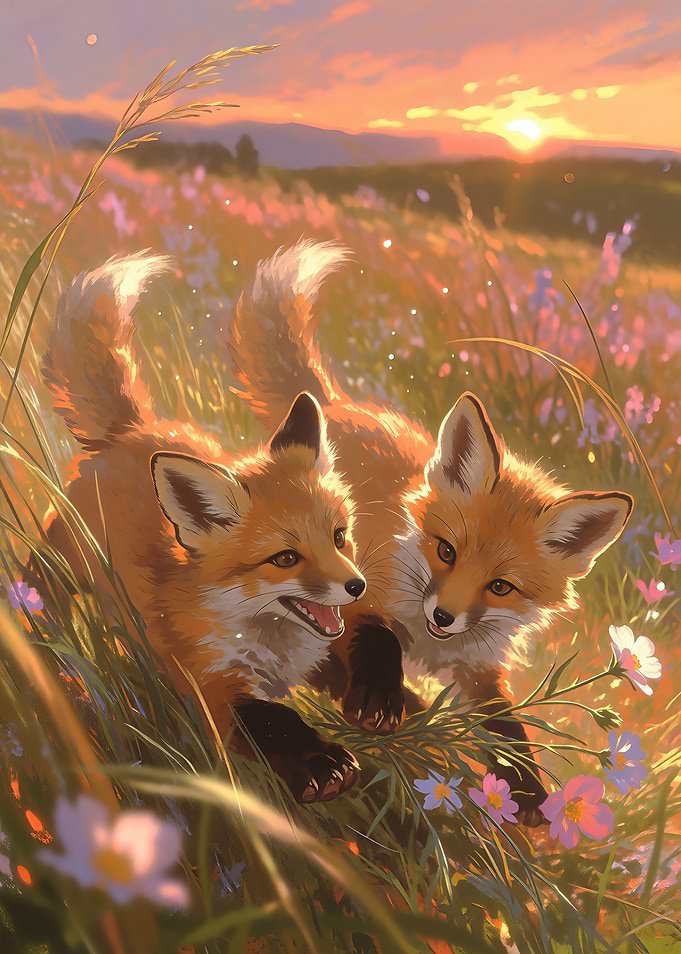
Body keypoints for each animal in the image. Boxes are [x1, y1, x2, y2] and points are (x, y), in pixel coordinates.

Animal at [39, 251, 369, 804]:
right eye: (285, 558)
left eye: (339, 536)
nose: (357, 586)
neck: (271, 645)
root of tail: (133, 429)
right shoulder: (208, 684)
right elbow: (274, 720)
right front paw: (322, 765)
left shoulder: (318, 650)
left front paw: (386, 698)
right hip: (69, 560)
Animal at [229, 239, 634, 823]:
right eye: (446, 550)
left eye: (501, 587)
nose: (443, 616)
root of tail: (339, 403)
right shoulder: (354, 589)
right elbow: (376, 637)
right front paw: (379, 700)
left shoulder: (480, 667)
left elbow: (506, 726)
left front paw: (528, 791)